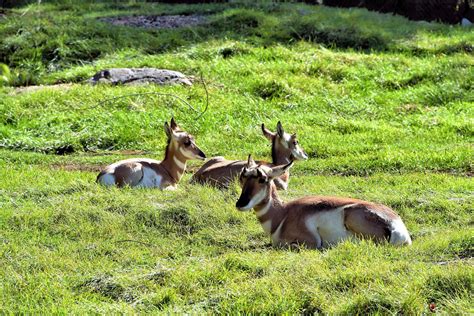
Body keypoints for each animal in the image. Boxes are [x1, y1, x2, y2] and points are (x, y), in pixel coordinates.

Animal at [236, 157, 412, 248]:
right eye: (242, 177)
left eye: (263, 179)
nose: (240, 204)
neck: (283, 214)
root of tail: (396, 224)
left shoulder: (310, 242)